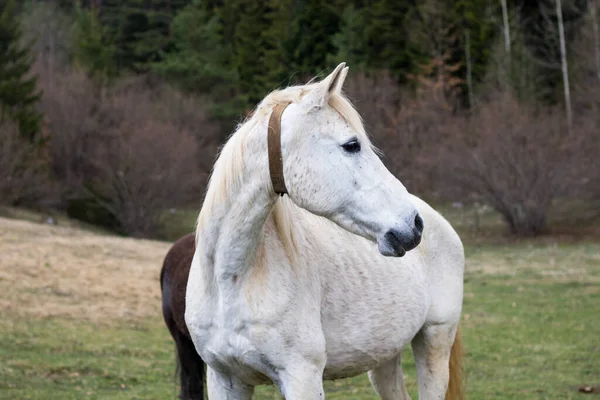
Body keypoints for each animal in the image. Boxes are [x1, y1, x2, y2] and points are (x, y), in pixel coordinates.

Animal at [185, 63, 466, 400]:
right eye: (351, 145)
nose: (413, 224)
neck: (232, 282)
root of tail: (441, 223)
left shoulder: (302, 377)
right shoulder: (224, 378)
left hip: (435, 341)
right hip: (385, 358)